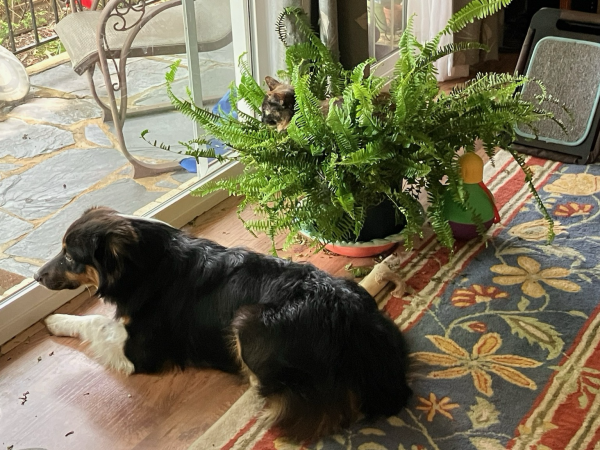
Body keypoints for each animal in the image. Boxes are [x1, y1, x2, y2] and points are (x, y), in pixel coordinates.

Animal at [36, 207, 412, 440]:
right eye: (61, 249)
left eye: (69, 256)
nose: (36, 276)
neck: (146, 262)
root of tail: (356, 328)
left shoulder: (140, 352)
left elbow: (93, 320)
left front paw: (55, 320)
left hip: (246, 321)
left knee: (280, 398)